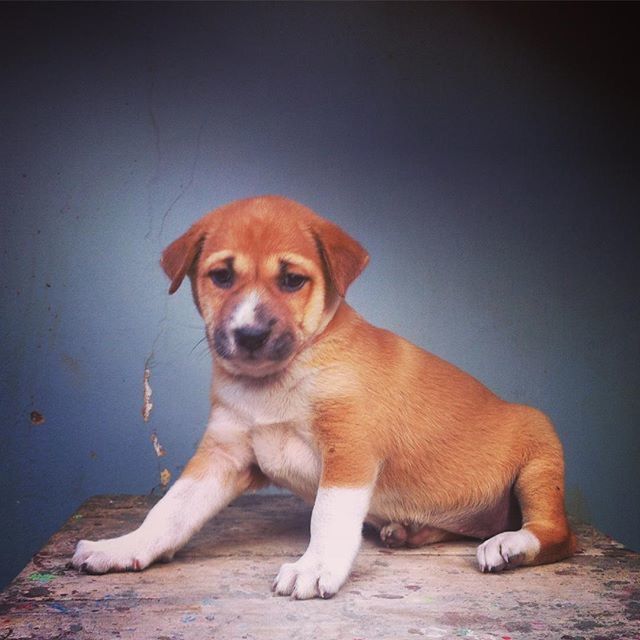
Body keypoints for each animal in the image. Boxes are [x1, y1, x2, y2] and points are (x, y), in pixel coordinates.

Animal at [72, 196, 576, 600]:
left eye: (292, 281)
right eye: (221, 276)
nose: (249, 335)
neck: (276, 383)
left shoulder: (349, 452)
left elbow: (328, 516)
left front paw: (314, 567)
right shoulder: (222, 455)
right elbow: (169, 511)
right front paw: (124, 546)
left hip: (540, 460)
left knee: (557, 535)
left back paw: (510, 544)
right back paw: (410, 530)